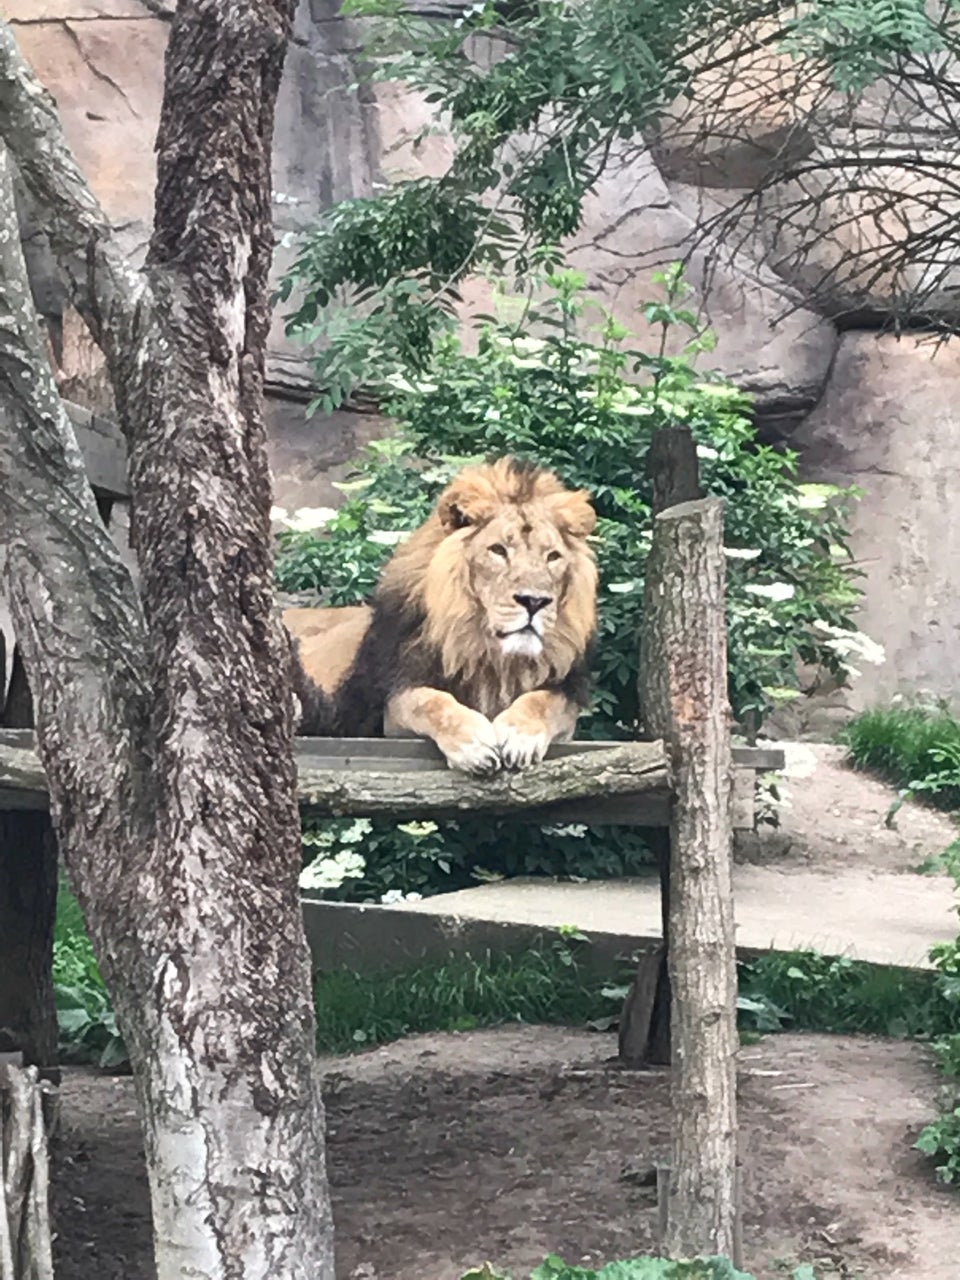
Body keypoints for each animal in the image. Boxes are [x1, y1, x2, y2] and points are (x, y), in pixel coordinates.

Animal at [285, 455, 599, 773]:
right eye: (498, 550)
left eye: (553, 557)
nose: (534, 601)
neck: (491, 655)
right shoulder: (392, 704)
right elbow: (430, 701)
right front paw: (474, 743)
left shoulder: (566, 697)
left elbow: (543, 701)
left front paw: (519, 734)